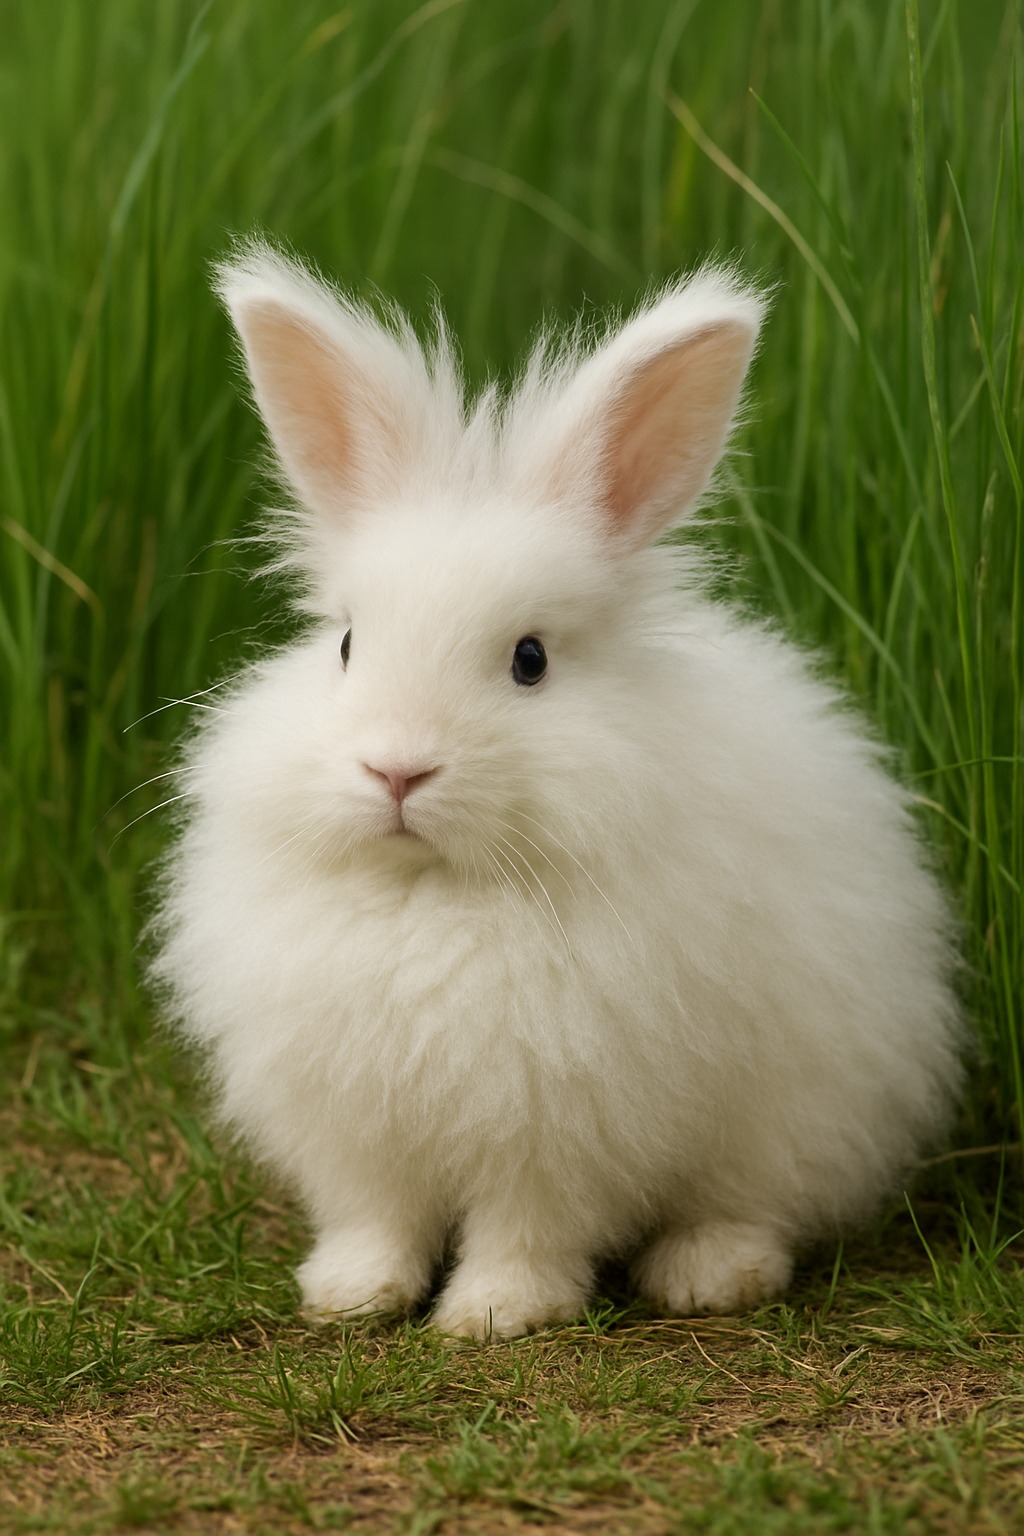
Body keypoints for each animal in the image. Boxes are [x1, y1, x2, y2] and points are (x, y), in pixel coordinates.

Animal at [150, 240, 964, 1340]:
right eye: (348, 643)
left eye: (529, 660)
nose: (396, 769)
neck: (433, 892)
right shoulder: (358, 1134)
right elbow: (377, 1220)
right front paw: (350, 1297)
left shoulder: (559, 1131)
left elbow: (526, 1228)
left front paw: (496, 1315)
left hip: (802, 1113)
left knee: (757, 1204)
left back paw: (709, 1273)